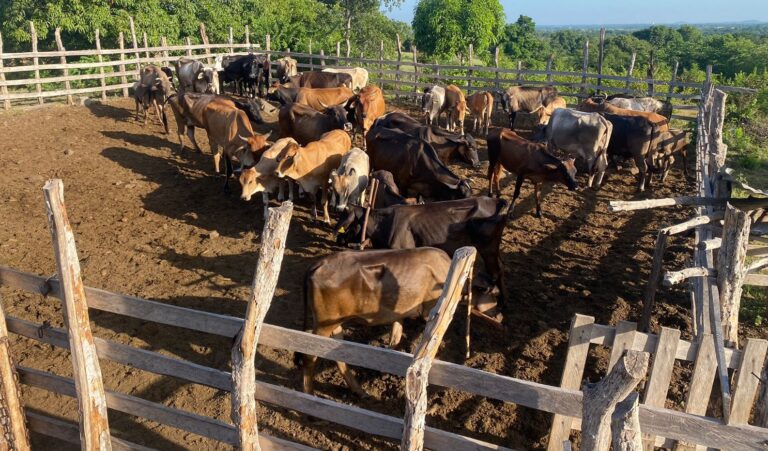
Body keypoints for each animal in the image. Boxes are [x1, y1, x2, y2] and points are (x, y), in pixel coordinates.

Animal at [299, 247, 453, 395]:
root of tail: (320, 263)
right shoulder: (430, 313)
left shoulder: (399, 313)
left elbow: (395, 339)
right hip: (324, 323)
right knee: (309, 355)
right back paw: (309, 394)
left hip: (334, 322)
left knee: (336, 355)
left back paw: (358, 391)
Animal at [335, 196, 509, 307]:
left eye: (348, 224)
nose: (338, 239)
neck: (384, 224)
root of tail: (495, 199)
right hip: (492, 250)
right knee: (501, 268)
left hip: (488, 249)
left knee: (496, 271)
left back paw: (499, 300)